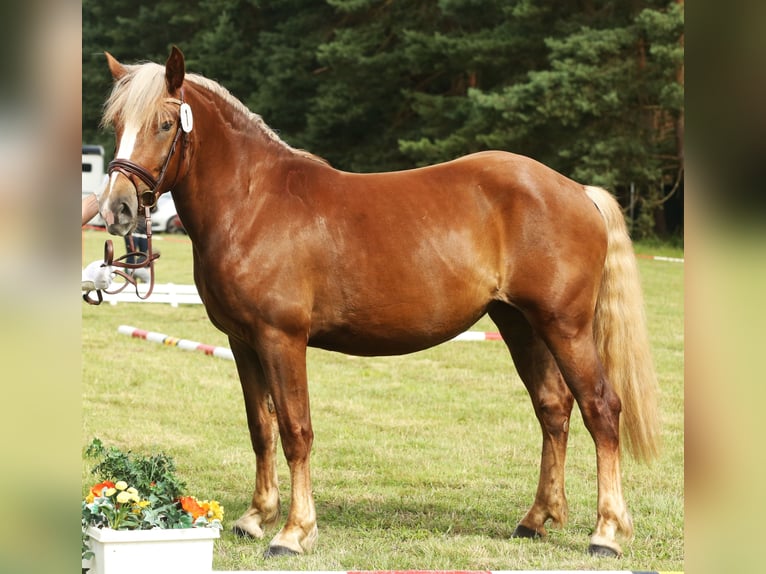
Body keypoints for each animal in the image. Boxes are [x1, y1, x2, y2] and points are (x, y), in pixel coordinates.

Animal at [98, 46, 660, 559]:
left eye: (165, 123)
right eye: (117, 123)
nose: (117, 209)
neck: (252, 203)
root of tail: (577, 190)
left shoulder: (282, 339)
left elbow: (296, 429)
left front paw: (294, 533)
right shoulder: (242, 342)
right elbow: (262, 429)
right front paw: (257, 517)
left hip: (565, 326)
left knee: (600, 409)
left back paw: (606, 532)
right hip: (521, 324)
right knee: (553, 409)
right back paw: (537, 519)